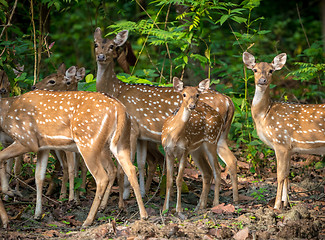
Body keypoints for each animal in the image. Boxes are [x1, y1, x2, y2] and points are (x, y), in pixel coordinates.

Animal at [0, 89, 147, 227]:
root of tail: (120, 109)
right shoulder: (43, 147)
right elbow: (39, 177)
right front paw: (37, 214)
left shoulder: (27, 140)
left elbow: (2, 157)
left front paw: (9, 193)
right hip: (120, 143)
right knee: (129, 169)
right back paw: (143, 215)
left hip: (88, 141)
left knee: (102, 177)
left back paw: (88, 220)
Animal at [161, 78, 224, 211]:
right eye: (184, 94)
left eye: (197, 95)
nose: (192, 105)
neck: (174, 136)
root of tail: (220, 117)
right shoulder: (167, 151)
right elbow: (169, 180)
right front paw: (164, 209)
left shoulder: (184, 150)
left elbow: (179, 179)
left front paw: (178, 209)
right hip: (196, 150)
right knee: (207, 172)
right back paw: (200, 206)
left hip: (211, 141)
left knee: (216, 169)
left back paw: (215, 204)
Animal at [242, 51, 324, 209]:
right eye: (254, 70)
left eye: (271, 70)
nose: (262, 80)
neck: (264, 115)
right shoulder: (290, 148)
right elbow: (286, 174)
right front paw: (286, 203)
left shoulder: (280, 141)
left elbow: (279, 175)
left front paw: (276, 206)